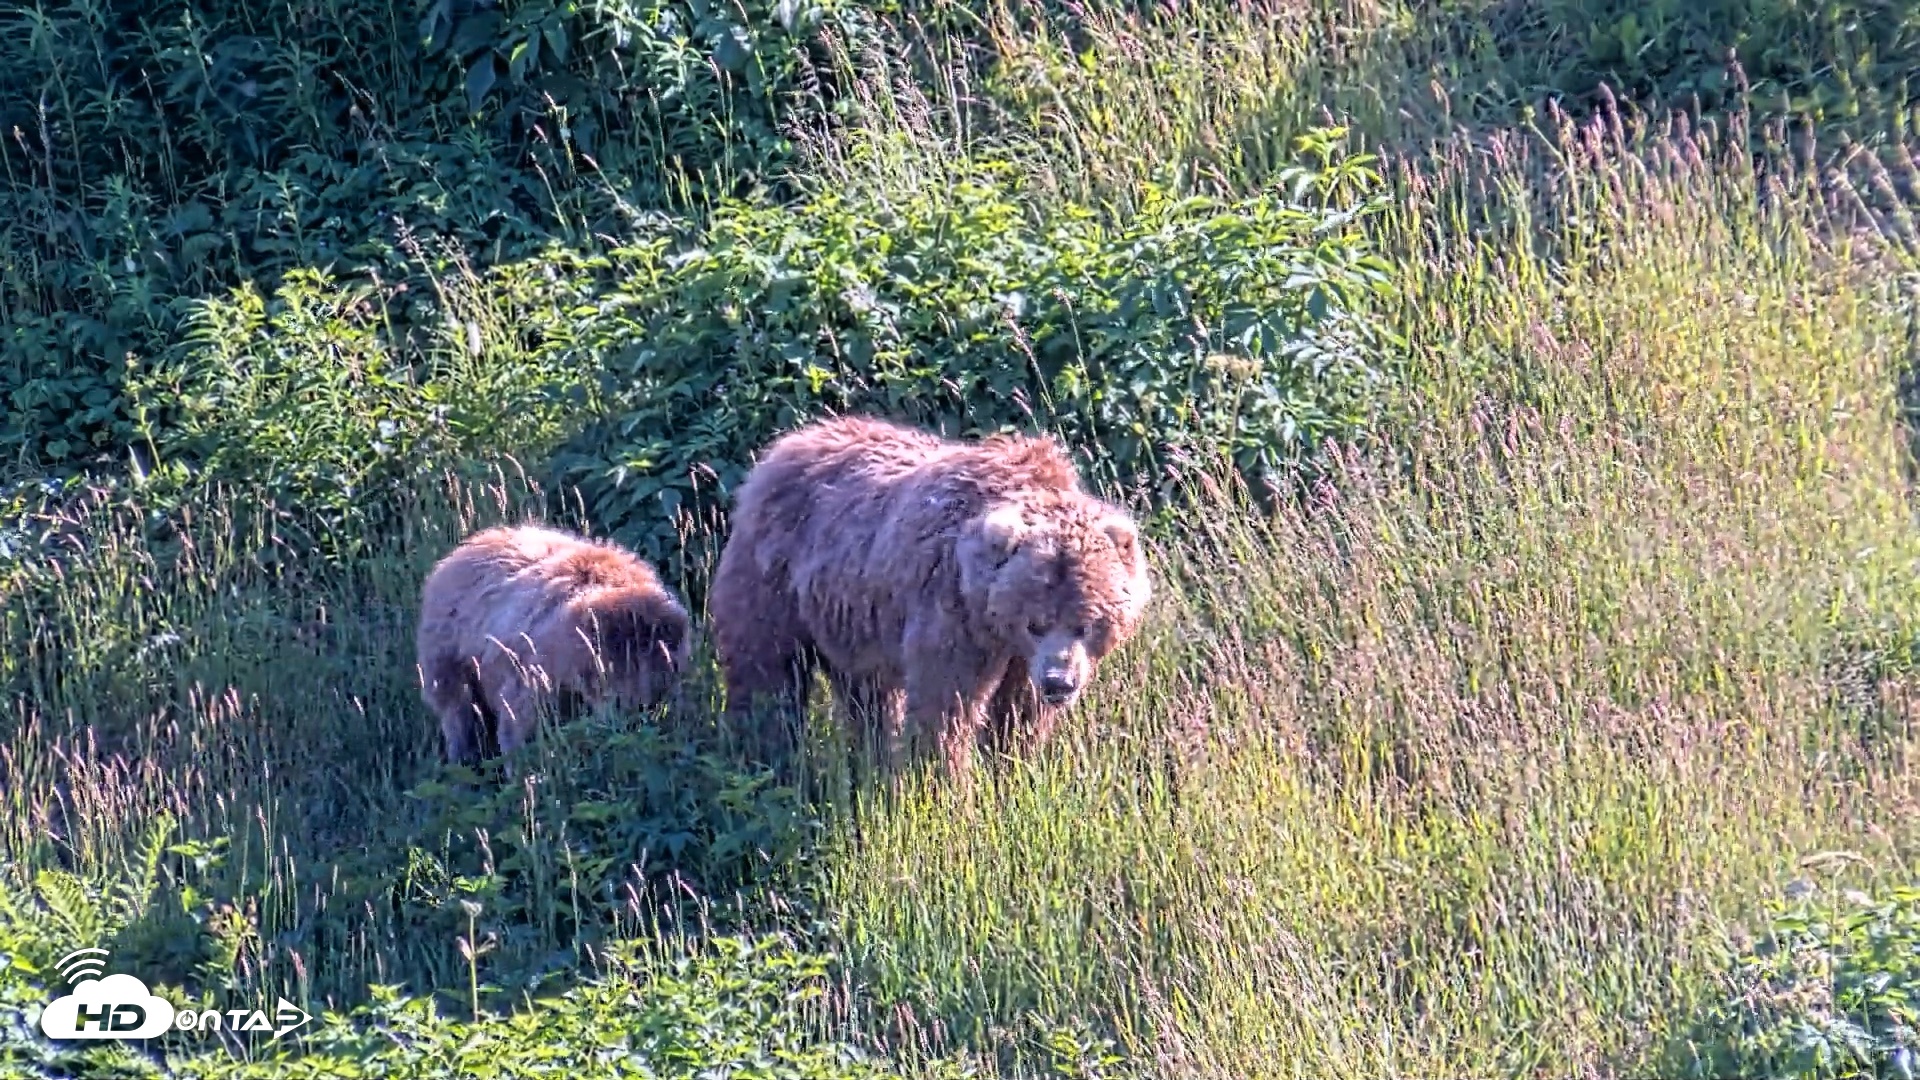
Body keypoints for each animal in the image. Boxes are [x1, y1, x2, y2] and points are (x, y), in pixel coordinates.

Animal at [416, 523, 691, 766]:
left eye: (662, 680)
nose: (634, 715)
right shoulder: (539, 660)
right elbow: (519, 712)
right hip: (449, 645)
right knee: (455, 705)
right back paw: (462, 754)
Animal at [707, 415, 1152, 782]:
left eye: (1086, 624)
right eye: (1036, 623)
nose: (1059, 683)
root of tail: (786, 445)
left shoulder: (1020, 656)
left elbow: (1018, 712)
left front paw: (1013, 770)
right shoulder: (953, 613)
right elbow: (946, 704)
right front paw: (944, 783)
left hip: (850, 614)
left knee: (867, 696)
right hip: (773, 579)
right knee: (766, 670)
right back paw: (763, 757)